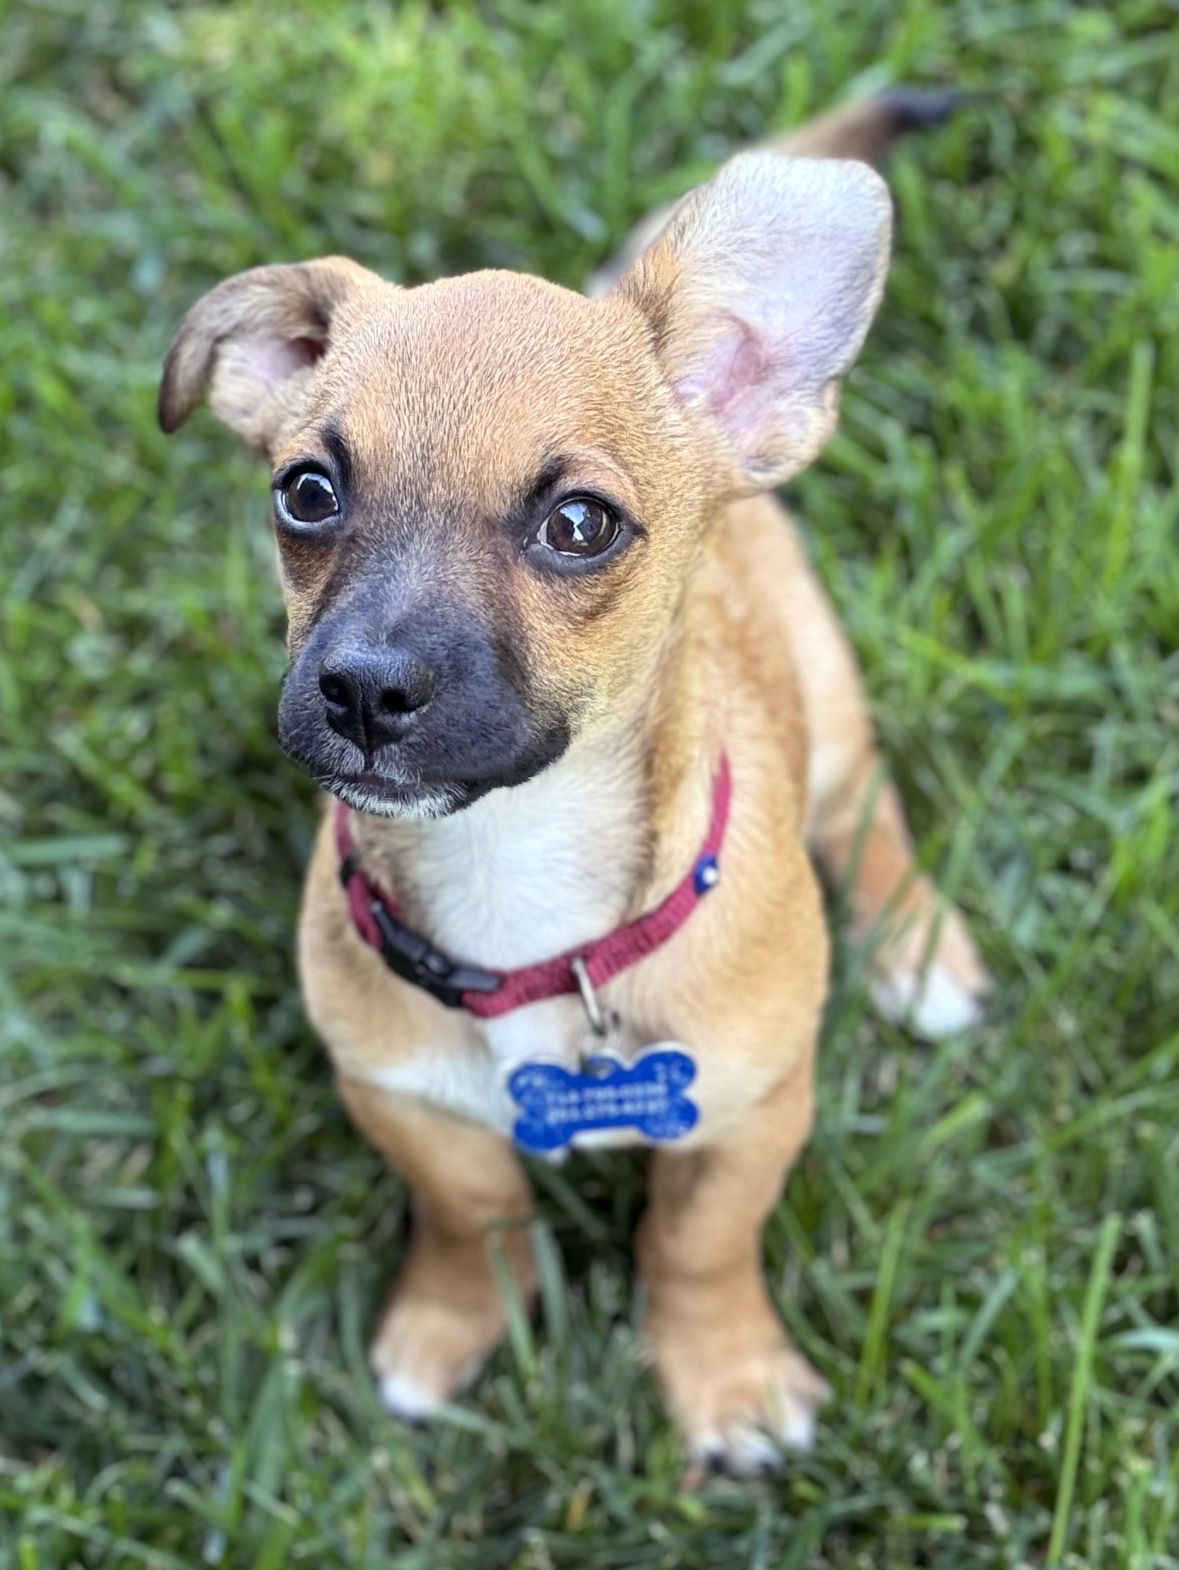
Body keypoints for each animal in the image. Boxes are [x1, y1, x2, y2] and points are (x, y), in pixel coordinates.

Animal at [156, 91, 985, 1475]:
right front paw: (452, 1323)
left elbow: (698, 1245)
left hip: (831, 700)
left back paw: (919, 948)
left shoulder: (754, 1115)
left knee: (868, 809)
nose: (363, 688)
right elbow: (473, 1207)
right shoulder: (402, 1100)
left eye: (580, 524)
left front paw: (724, 1376)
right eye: (306, 492)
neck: (519, 874)